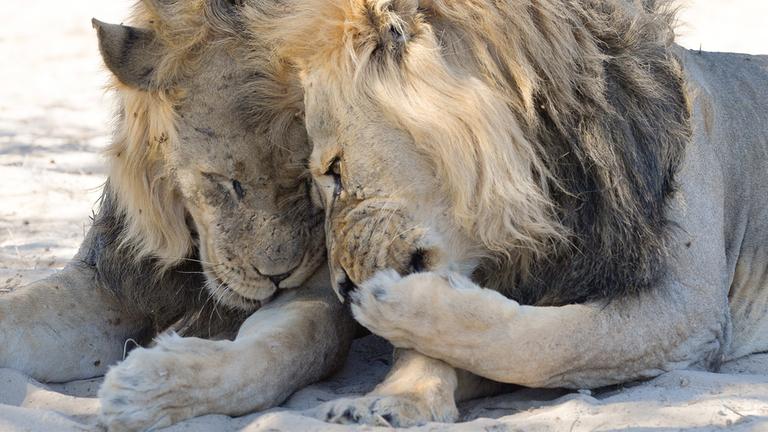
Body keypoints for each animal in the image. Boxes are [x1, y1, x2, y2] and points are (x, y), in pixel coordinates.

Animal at [0, 1, 354, 431]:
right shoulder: (109, 277)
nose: (277, 276)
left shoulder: (318, 289)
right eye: (223, 181)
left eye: (309, 180)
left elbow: (294, 343)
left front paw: (148, 388)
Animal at [261, 0, 768, 427]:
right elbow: (451, 348)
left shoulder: (693, 312)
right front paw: (395, 398)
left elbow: (548, 344)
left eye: (335, 169)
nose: (342, 287)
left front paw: (393, 304)